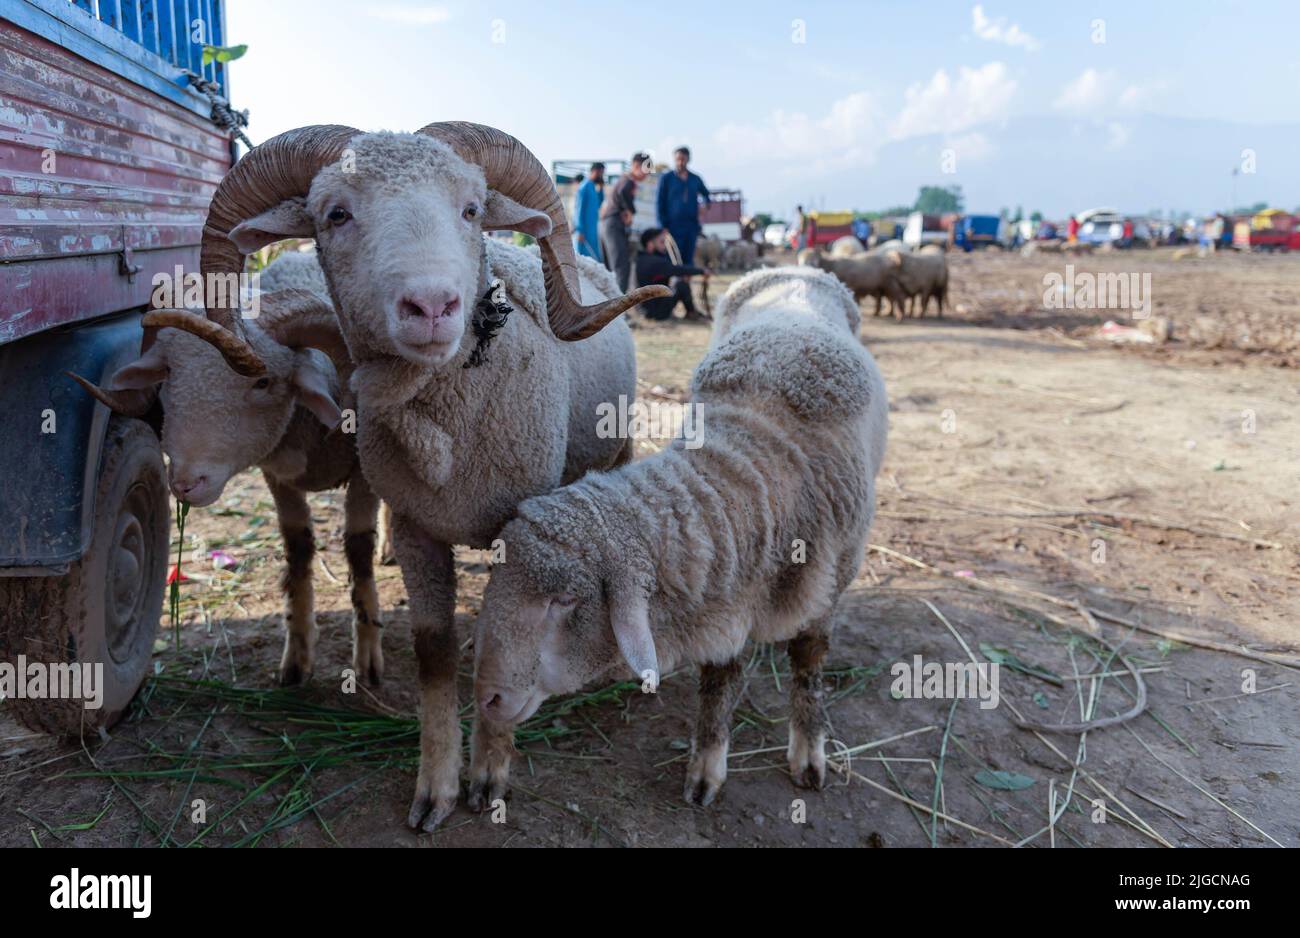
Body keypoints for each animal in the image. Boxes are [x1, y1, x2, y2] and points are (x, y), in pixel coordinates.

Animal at [71, 288, 384, 680]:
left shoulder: (365, 470)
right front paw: (297, 657)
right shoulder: (278, 476)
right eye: (169, 372)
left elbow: (359, 548)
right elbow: (297, 548)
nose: (186, 483)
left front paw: (368, 657)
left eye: (263, 382)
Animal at [202, 120, 670, 831]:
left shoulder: (521, 529)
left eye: (472, 209)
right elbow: (435, 653)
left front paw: (491, 775)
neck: (452, 434)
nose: (431, 305)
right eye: (335, 214)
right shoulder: (418, 528)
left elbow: (508, 640)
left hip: (612, 450)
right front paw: (437, 788)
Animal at [473, 268, 889, 805]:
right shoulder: (728, 593)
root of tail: (799, 269)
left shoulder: (828, 591)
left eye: (563, 601)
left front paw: (809, 752)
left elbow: (808, 666)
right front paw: (706, 768)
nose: (487, 698)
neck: (760, 453)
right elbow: (719, 679)